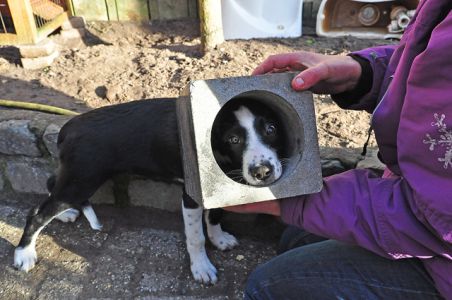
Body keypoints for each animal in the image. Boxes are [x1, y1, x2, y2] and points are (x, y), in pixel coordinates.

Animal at [14, 98, 286, 284]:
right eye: (234, 140)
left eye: (271, 129)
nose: (263, 171)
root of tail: (68, 127)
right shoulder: (191, 195)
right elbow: (195, 237)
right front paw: (201, 268)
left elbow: (216, 214)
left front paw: (219, 239)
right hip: (82, 179)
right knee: (37, 213)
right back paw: (24, 254)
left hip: (76, 178)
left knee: (51, 185)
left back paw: (66, 214)